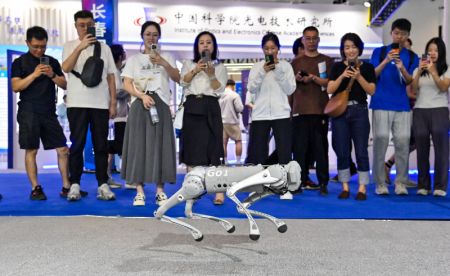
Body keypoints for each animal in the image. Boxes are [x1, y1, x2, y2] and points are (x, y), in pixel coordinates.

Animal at [153, 161, 300, 240]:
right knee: (160, 212)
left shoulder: (263, 188)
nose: (295, 184)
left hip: (195, 194)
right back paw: (196, 232)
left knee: (187, 213)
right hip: (193, 189)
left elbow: (241, 208)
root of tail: (190, 174)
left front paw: (279, 223)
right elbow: (231, 192)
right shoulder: (259, 179)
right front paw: (254, 231)